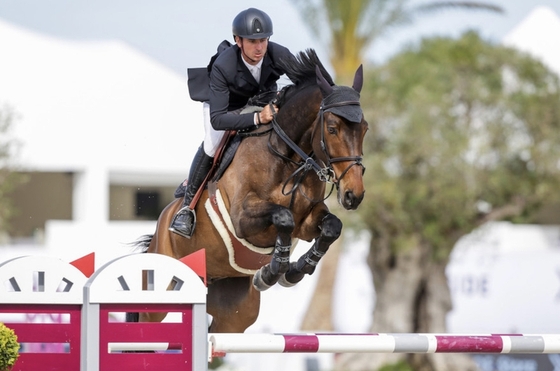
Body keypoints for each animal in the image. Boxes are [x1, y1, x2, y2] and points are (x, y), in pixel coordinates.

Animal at [135, 48, 370, 334]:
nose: (353, 195)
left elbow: (331, 227)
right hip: (160, 295)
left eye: (365, 129)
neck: (287, 158)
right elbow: (283, 217)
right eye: (333, 129)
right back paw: (182, 221)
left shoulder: (308, 221)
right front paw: (271, 272)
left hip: (233, 315)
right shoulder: (242, 219)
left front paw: (294, 271)